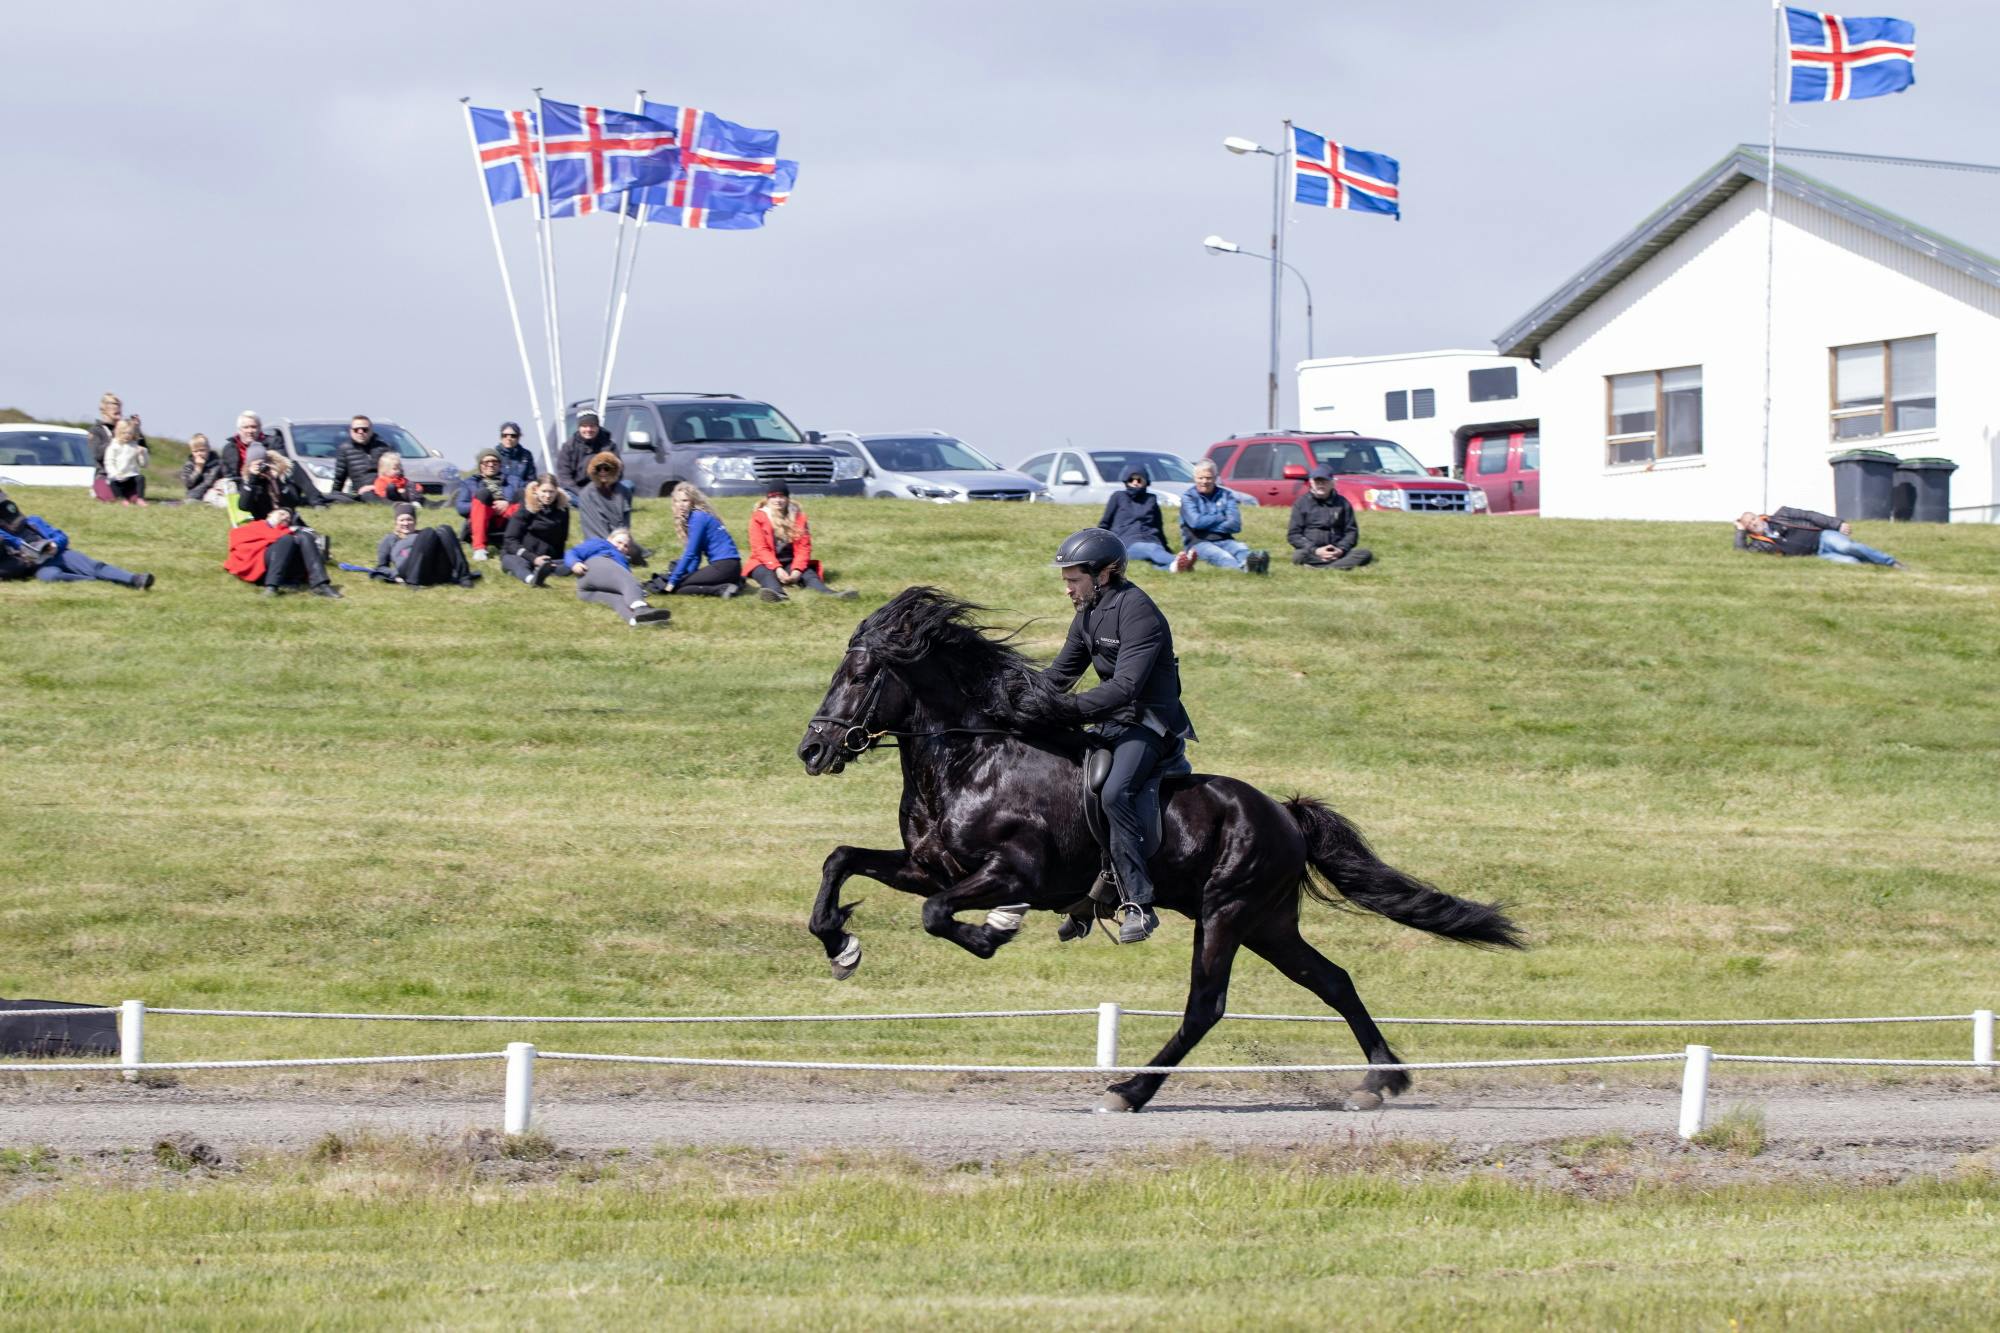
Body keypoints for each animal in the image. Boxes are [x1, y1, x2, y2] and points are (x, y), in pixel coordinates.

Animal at [796, 588, 1512, 1104]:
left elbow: (938, 914)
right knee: (1332, 980)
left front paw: (994, 931)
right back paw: (1381, 1080)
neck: (973, 758)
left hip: (1228, 912)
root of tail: (1283, 813)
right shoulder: (928, 865)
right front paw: (841, 947)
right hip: (1269, 923)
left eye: (859, 674)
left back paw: (1131, 1090)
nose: (812, 751)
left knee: (1206, 1006)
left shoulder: (1016, 874)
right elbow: (842, 861)